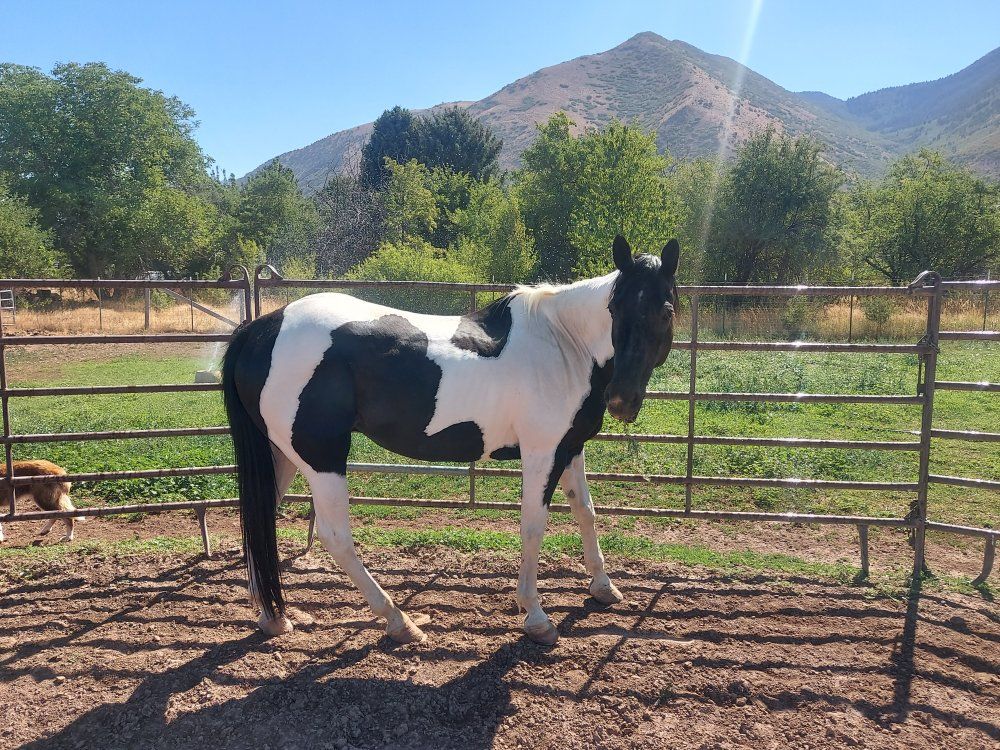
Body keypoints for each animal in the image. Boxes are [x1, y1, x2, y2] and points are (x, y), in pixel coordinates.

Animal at [222, 235, 680, 645]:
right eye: (615, 308)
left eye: (666, 310)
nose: (622, 401)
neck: (564, 344)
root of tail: (261, 329)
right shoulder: (542, 452)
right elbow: (533, 525)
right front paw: (535, 615)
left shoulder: (569, 448)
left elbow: (586, 511)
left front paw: (603, 587)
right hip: (322, 458)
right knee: (335, 537)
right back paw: (398, 620)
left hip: (282, 454)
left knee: (260, 517)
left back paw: (273, 618)